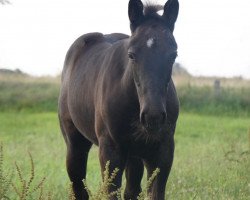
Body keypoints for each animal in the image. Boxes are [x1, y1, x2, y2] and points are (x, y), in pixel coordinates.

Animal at [58, 0, 180, 199]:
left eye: (173, 55)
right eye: (131, 55)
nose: (153, 116)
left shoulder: (162, 151)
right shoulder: (111, 151)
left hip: (134, 155)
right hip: (75, 142)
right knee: (78, 186)